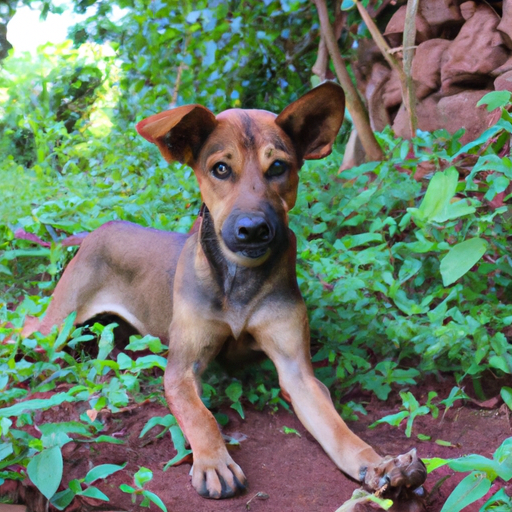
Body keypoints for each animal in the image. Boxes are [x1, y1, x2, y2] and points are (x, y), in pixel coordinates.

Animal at [22, 83, 426, 500]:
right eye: (220, 168)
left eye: (278, 167)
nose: (252, 230)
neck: (238, 278)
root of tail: (96, 231)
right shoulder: (182, 368)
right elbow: (200, 415)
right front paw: (214, 462)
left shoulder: (297, 372)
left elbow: (335, 426)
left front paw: (378, 464)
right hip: (56, 324)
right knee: (26, 324)